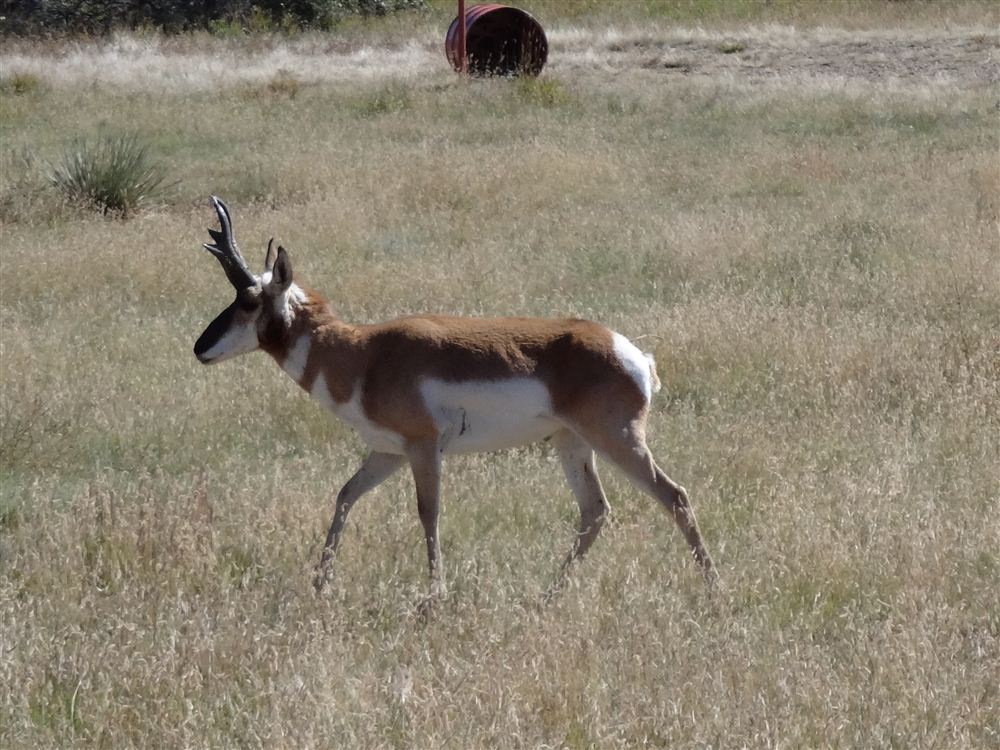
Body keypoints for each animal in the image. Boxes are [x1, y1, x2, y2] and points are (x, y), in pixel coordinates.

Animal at [191, 197, 716, 604]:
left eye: (249, 301)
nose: (199, 348)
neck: (365, 354)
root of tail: (631, 352)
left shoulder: (424, 448)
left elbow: (429, 512)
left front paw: (433, 597)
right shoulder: (387, 452)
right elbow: (344, 497)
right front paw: (320, 586)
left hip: (617, 441)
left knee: (674, 496)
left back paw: (714, 592)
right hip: (572, 445)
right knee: (595, 511)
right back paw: (547, 597)